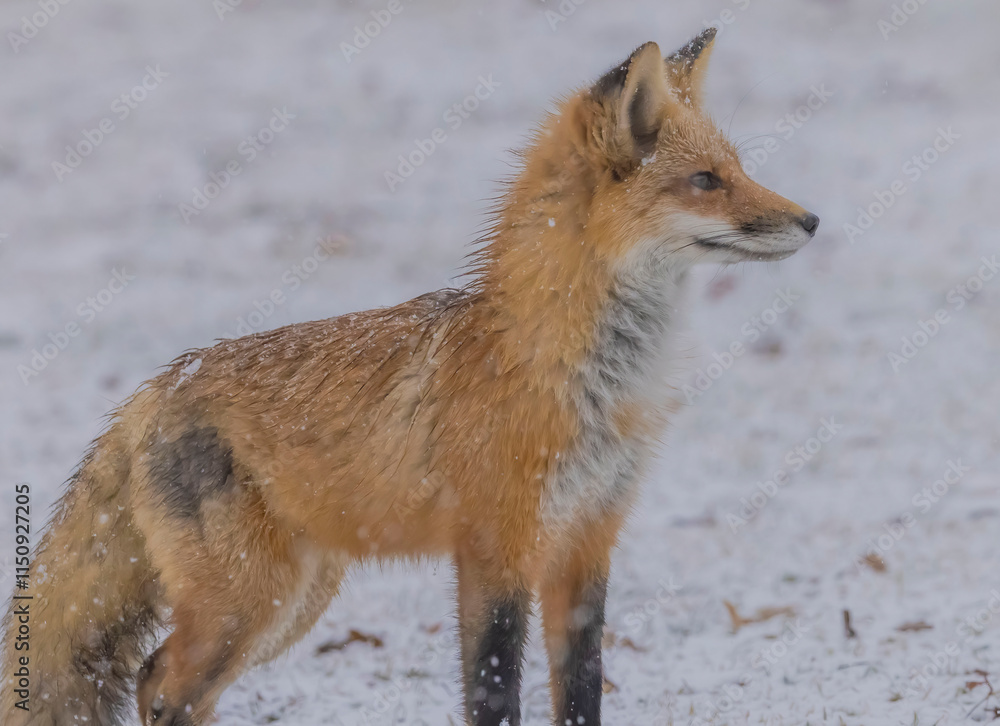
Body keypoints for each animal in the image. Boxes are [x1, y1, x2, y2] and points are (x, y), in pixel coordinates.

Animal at [1, 28, 818, 726]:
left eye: (739, 168)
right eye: (705, 180)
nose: (811, 221)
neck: (576, 376)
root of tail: (151, 391)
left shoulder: (587, 545)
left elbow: (580, 693)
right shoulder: (495, 549)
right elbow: (493, 692)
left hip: (292, 604)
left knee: (161, 681)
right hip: (250, 603)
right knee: (161, 684)